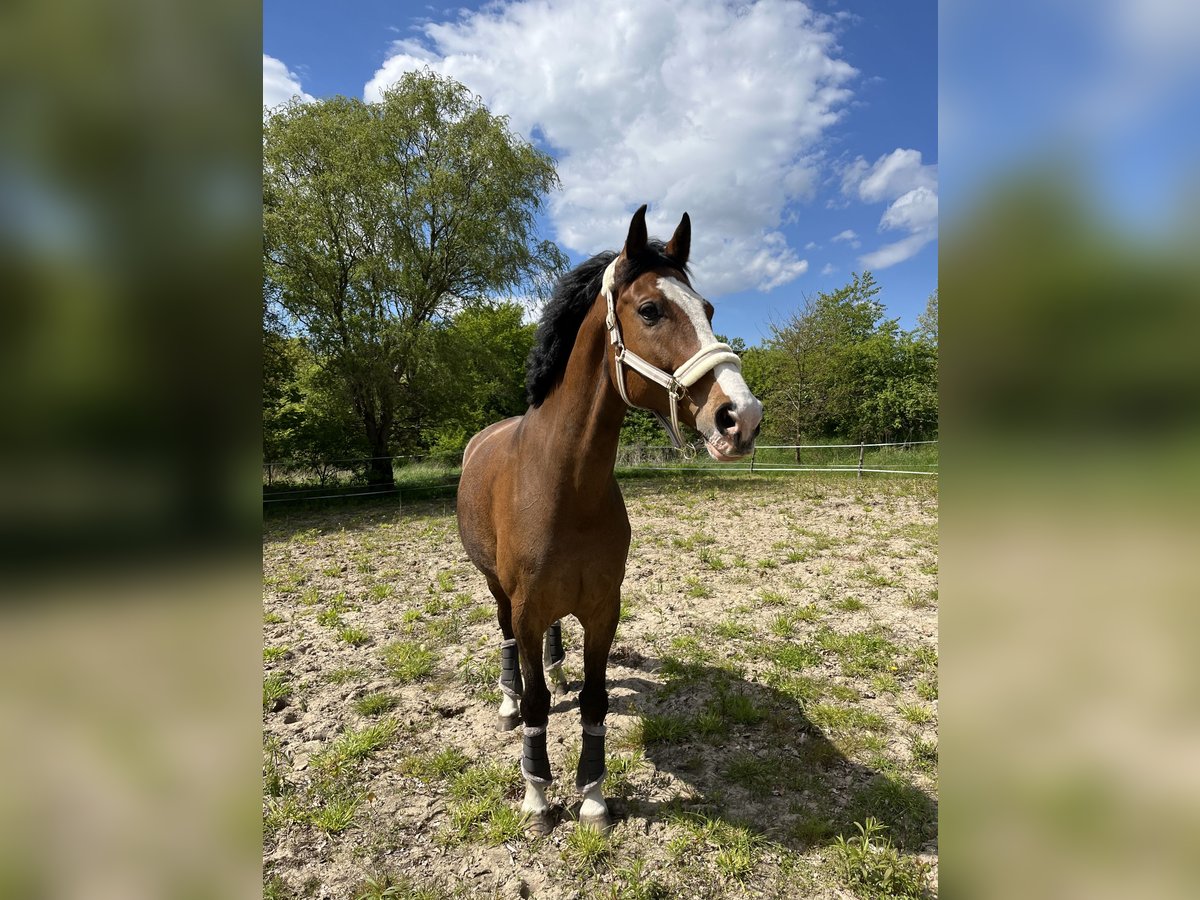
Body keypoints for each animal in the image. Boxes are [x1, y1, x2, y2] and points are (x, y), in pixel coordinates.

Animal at [453, 202, 763, 830]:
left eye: (709, 310)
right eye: (649, 309)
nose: (741, 417)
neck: (564, 486)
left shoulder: (602, 609)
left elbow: (593, 699)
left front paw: (592, 795)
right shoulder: (525, 608)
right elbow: (538, 704)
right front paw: (538, 796)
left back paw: (555, 671)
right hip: (497, 589)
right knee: (506, 646)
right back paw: (507, 701)